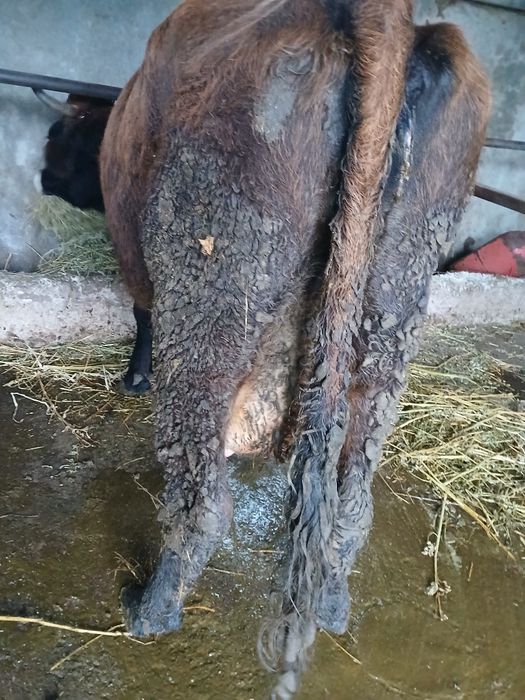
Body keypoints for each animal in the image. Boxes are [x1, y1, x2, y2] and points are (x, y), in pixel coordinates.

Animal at [99, 0, 490, 696]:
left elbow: (141, 317)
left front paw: (134, 375)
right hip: (395, 307)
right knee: (352, 487)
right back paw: (332, 606)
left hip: (213, 281)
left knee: (203, 488)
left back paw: (150, 609)